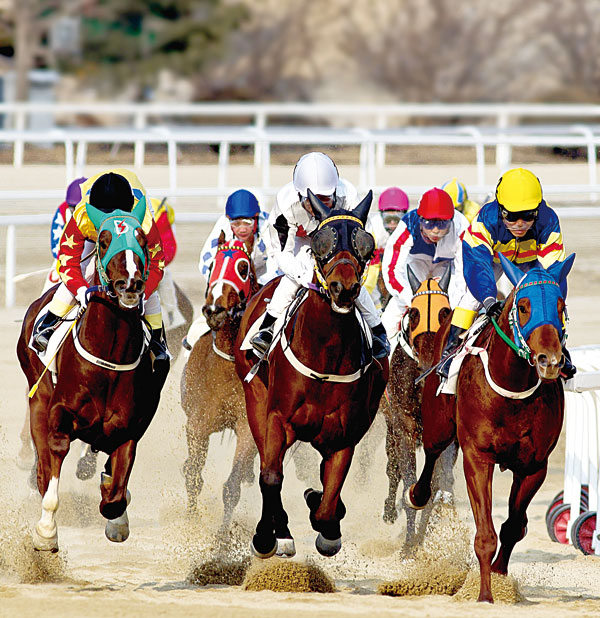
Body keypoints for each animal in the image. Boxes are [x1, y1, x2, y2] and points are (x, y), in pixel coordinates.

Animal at [17, 200, 166, 552]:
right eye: (104, 241)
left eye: (142, 240)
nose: (130, 284)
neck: (109, 360)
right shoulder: (58, 415)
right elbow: (52, 468)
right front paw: (46, 532)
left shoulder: (129, 429)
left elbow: (114, 497)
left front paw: (117, 518)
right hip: (37, 398)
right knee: (42, 467)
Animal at [182, 233, 258, 528]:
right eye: (213, 263)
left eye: (243, 268)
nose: (214, 309)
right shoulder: (197, 425)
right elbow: (192, 475)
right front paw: (191, 523)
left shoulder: (247, 428)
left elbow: (232, 487)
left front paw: (223, 535)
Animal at [234, 190, 390, 556]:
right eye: (321, 242)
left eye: (366, 244)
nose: (343, 288)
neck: (325, 359)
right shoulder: (277, 418)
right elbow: (270, 476)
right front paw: (268, 535)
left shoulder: (344, 435)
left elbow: (328, 503)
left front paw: (327, 525)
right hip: (254, 402)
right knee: (268, 465)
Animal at [380, 266, 454, 544]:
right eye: (414, 313)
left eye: (445, 313)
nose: (428, 360)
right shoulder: (403, 425)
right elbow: (408, 478)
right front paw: (409, 544)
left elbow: (432, 487)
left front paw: (419, 540)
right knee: (393, 469)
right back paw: (389, 510)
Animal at [408, 253, 576, 600]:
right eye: (523, 306)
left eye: (560, 306)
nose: (549, 361)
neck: (512, 388)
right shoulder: (478, 457)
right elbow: (485, 534)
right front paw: (485, 595)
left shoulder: (534, 466)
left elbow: (513, 526)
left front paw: (499, 576)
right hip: (438, 423)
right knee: (431, 454)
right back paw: (418, 494)